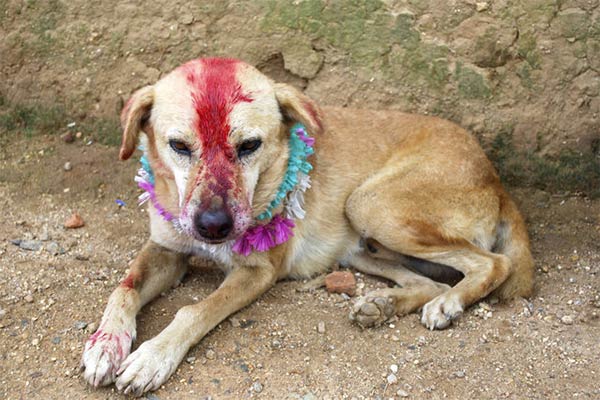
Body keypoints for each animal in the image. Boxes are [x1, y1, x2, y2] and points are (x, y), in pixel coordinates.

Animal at [79, 57, 536, 396]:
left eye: (250, 146)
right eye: (178, 146)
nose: (213, 227)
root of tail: (495, 177)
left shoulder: (255, 272)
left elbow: (194, 310)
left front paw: (152, 356)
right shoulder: (167, 250)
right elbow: (124, 288)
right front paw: (106, 344)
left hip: (373, 205)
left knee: (491, 263)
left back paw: (449, 303)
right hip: (363, 245)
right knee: (430, 280)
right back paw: (382, 305)